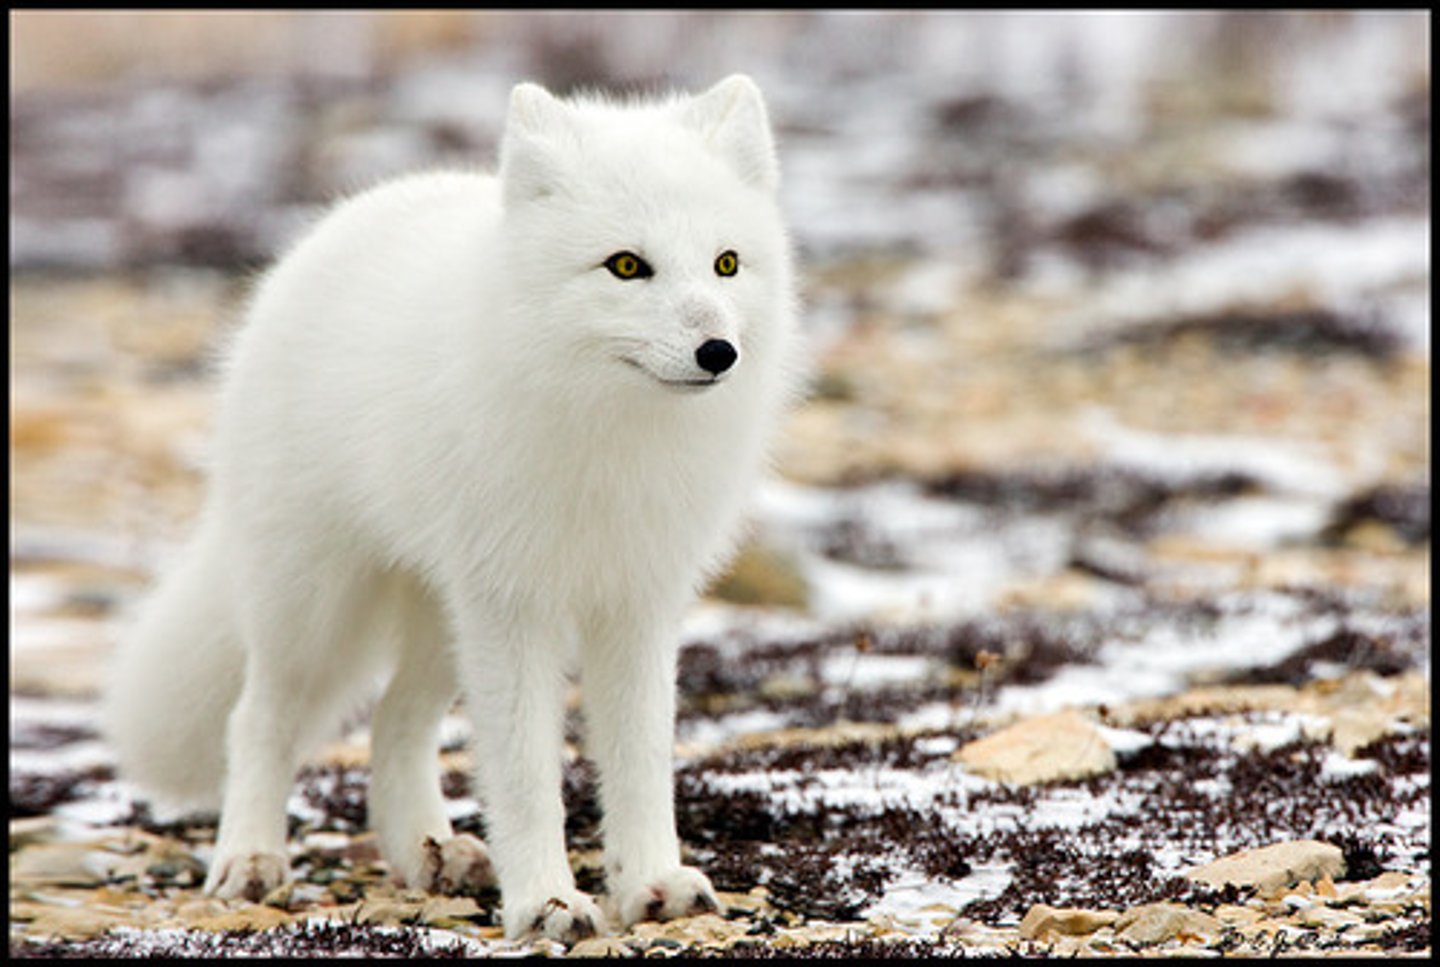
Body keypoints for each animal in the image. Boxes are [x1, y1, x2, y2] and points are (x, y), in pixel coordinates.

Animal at [104, 77, 800, 943]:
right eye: (627, 266)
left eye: (727, 263)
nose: (718, 352)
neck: (609, 442)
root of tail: (334, 227)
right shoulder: (514, 607)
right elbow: (527, 775)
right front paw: (548, 902)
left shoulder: (638, 602)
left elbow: (641, 760)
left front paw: (653, 883)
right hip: (318, 602)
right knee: (259, 716)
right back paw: (252, 858)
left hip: (442, 617)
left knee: (393, 720)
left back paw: (428, 852)